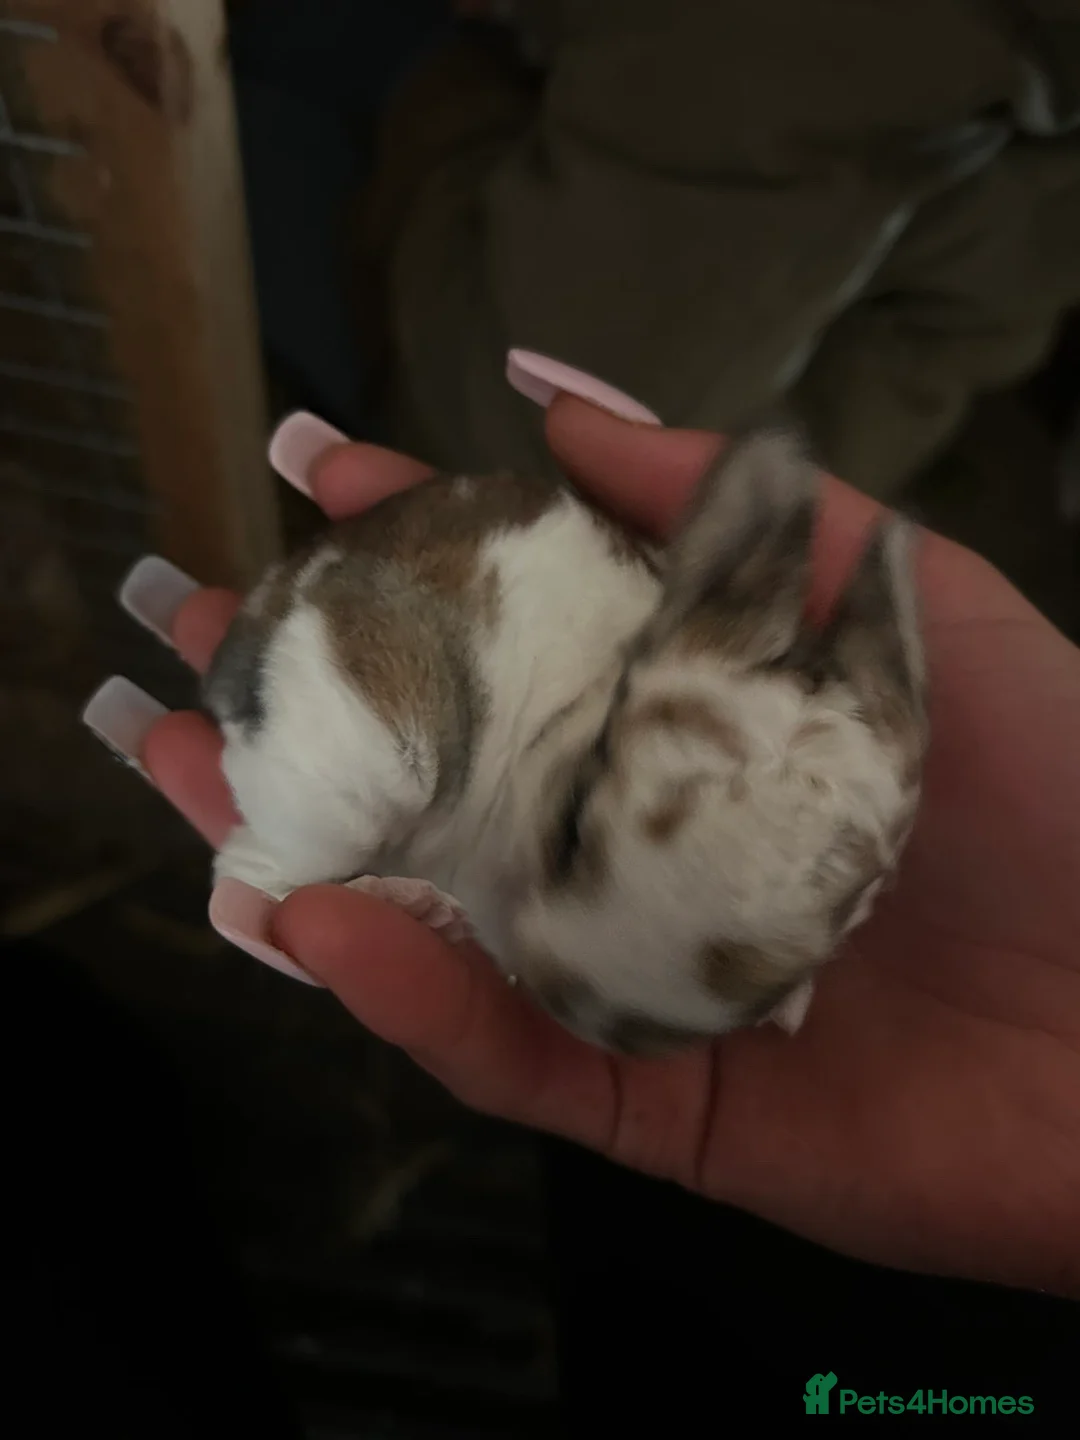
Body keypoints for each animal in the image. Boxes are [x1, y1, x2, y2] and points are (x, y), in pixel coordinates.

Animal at [203, 424, 927, 1056]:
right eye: (572, 819)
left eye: (801, 964)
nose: (573, 1006)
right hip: (364, 778)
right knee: (251, 882)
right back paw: (411, 906)